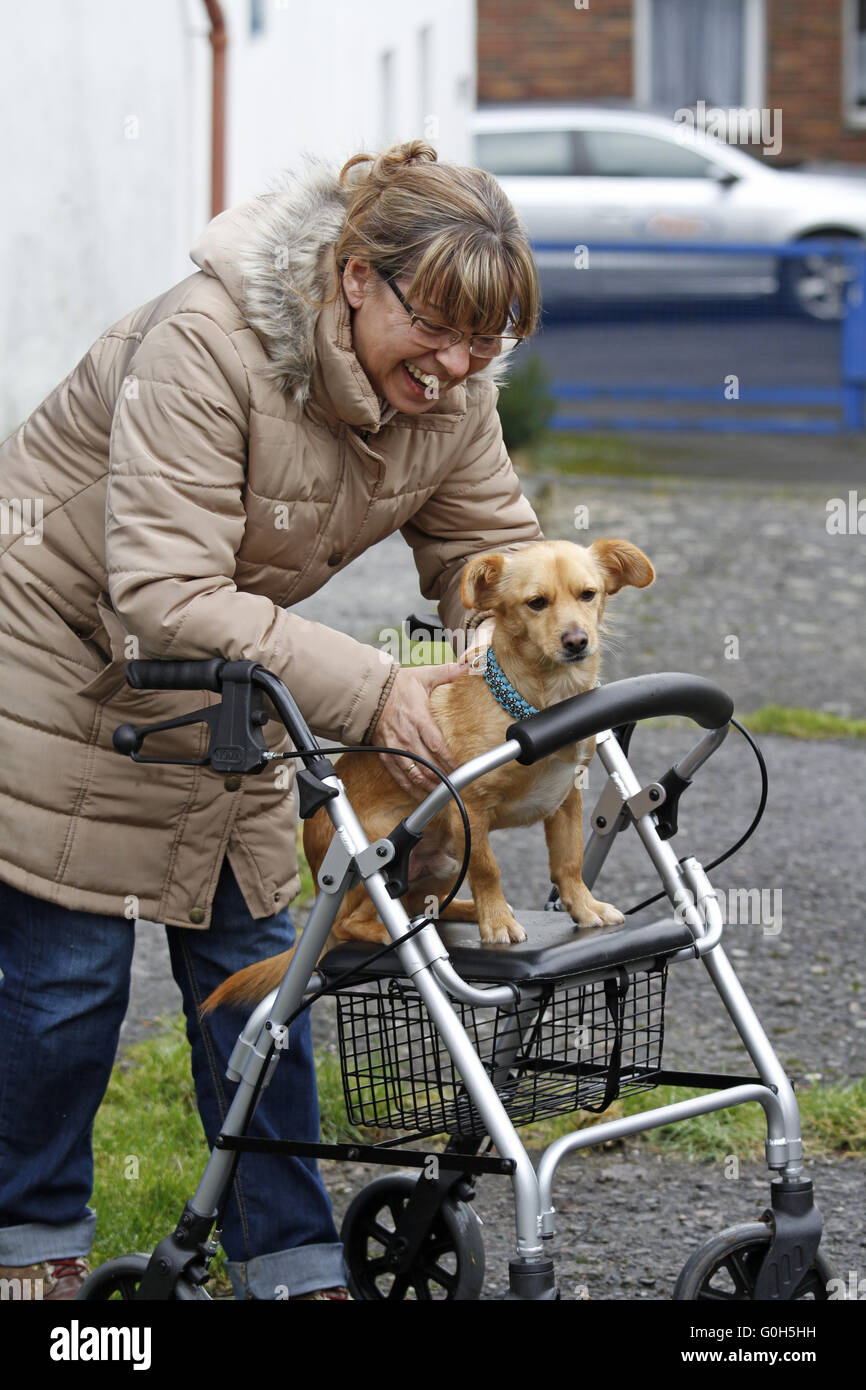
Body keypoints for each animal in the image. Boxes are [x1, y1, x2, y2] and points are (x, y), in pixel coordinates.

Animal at [201, 533, 650, 1011]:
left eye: (589, 594)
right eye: (536, 603)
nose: (576, 641)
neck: (537, 703)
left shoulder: (566, 801)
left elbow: (569, 862)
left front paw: (584, 909)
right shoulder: (469, 809)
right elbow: (489, 869)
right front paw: (497, 923)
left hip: (449, 858)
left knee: (427, 904)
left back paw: (457, 911)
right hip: (386, 851)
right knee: (353, 923)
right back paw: (401, 934)